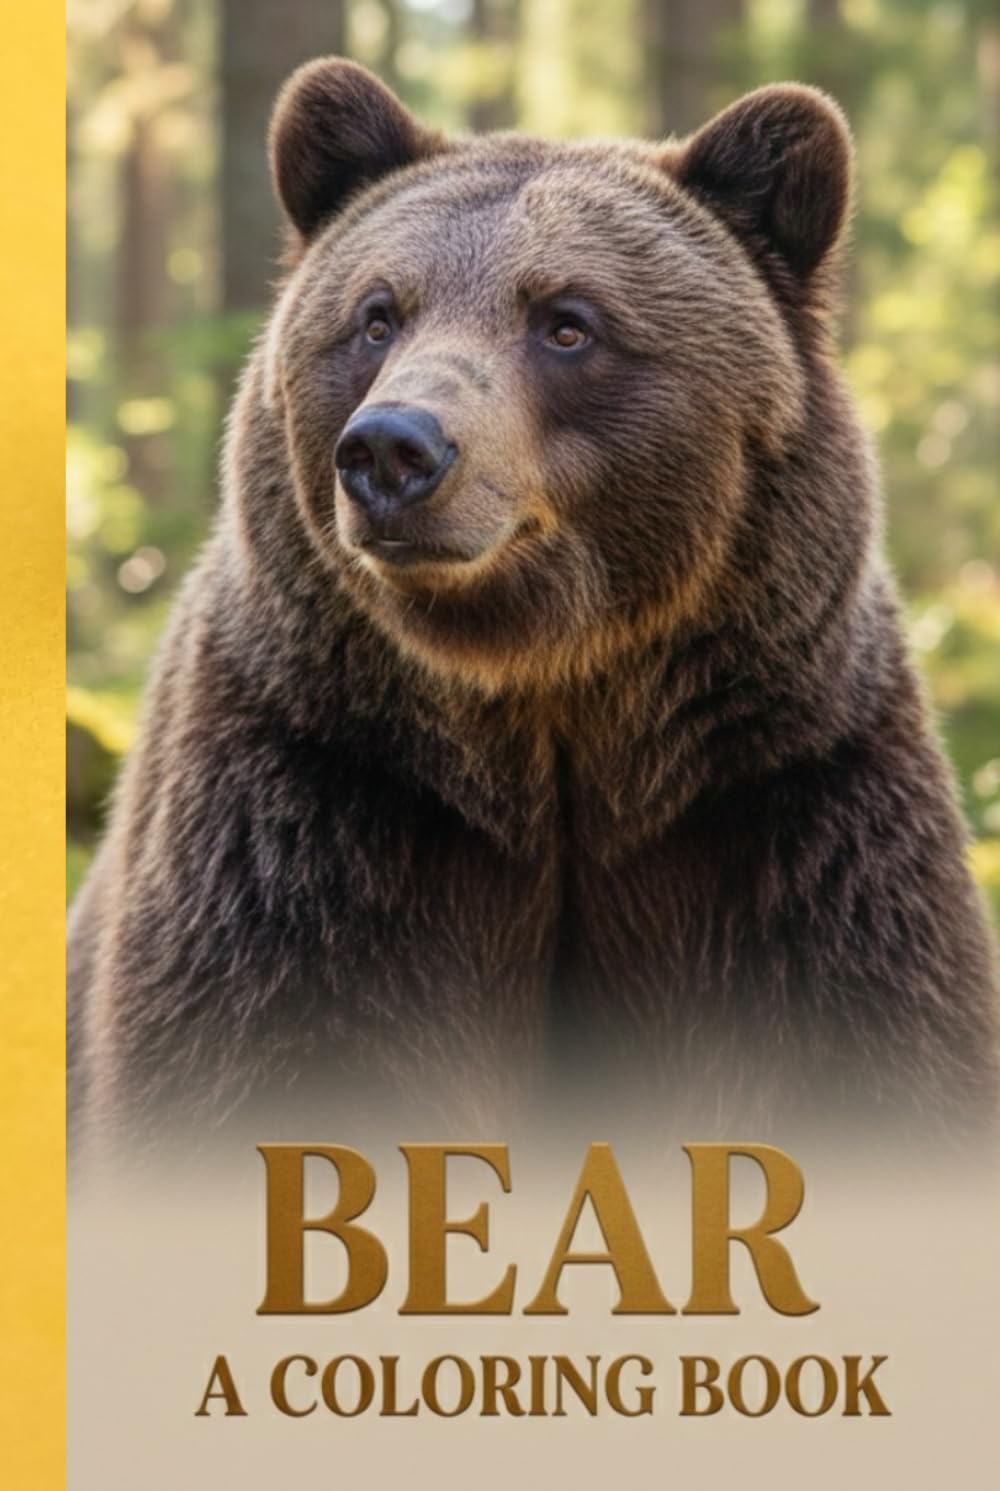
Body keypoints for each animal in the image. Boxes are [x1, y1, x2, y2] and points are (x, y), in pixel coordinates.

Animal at [68, 58, 998, 1155]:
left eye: (566, 321)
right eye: (378, 314)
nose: (392, 448)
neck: (550, 711)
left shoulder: (786, 810)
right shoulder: (312, 810)